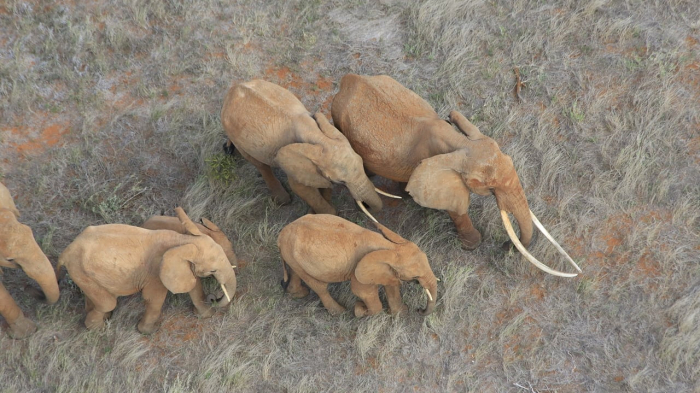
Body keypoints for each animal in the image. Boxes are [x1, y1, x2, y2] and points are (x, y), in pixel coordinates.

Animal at [57, 207, 238, 332]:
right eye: (213, 270)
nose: (214, 297)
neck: (182, 240)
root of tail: (66, 251)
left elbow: (194, 286)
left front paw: (206, 315)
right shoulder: (156, 273)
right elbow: (154, 299)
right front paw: (149, 331)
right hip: (80, 271)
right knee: (107, 303)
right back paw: (97, 328)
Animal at [220, 78, 400, 216]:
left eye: (362, 161)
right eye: (341, 181)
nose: (366, 205)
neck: (318, 136)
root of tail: (231, 90)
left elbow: (323, 185)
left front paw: (314, 212)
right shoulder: (293, 163)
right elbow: (301, 188)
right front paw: (322, 216)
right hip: (234, 133)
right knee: (259, 163)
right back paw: (283, 201)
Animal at [276, 213, 434, 316]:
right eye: (415, 276)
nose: (419, 310)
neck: (390, 247)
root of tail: (281, 234)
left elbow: (392, 286)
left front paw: (399, 313)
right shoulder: (357, 270)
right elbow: (363, 292)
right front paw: (360, 310)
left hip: (292, 256)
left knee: (296, 272)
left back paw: (298, 293)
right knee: (320, 287)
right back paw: (340, 312)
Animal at [332, 72, 580, 276]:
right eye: (490, 187)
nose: (506, 246)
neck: (461, 143)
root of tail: (347, 80)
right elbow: (456, 209)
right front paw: (473, 245)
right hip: (338, 120)